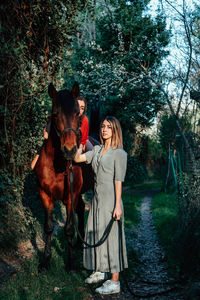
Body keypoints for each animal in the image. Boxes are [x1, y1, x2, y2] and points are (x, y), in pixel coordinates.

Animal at [35, 81, 92, 270]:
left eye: (77, 113)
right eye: (55, 114)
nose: (69, 150)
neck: (58, 165)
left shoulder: (70, 196)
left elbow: (68, 228)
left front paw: (71, 264)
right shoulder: (45, 195)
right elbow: (48, 227)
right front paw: (45, 261)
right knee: (81, 208)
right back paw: (81, 244)